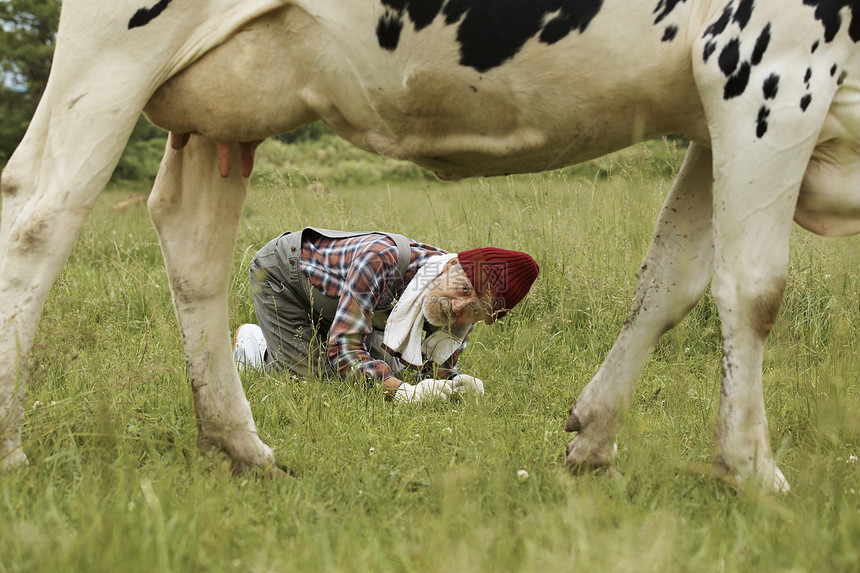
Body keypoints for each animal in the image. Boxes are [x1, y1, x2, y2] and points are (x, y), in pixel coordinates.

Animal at [1, 0, 860, 492]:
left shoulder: (712, 115)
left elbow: (669, 279)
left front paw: (593, 439)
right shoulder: (770, 65)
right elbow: (754, 289)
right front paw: (753, 469)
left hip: (221, 104)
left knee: (191, 239)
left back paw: (243, 448)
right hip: (115, 52)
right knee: (38, 213)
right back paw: (13, 454)